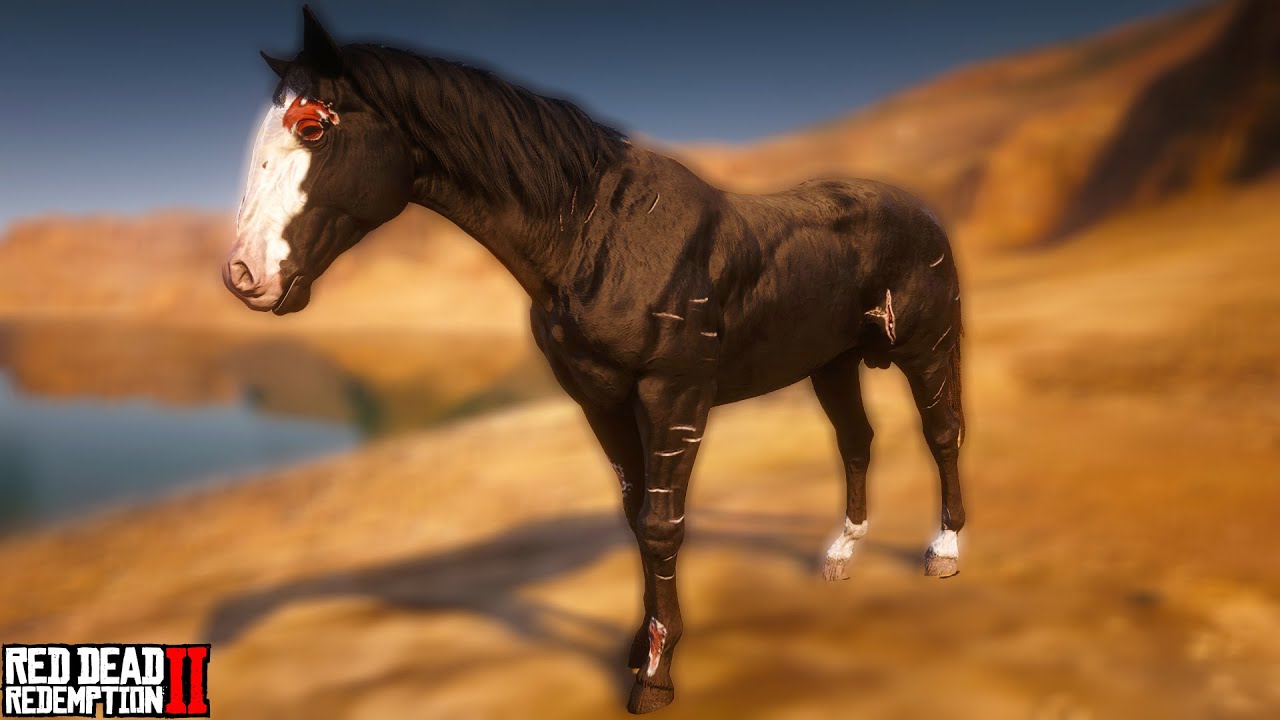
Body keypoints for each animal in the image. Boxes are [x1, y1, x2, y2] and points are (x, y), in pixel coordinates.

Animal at [224, 8, 967, 714]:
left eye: (312, 127)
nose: (242, 276)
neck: (597, 235)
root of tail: (921, 213)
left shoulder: (673, 397)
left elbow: (662, 527)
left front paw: (657, 678)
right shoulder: (602, 401)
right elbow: (636, 517)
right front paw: (637, 650)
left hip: (926, 349)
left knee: (942, 434)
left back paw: (944, 552)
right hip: (832, 363)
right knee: (856, 440)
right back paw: (841, 555)